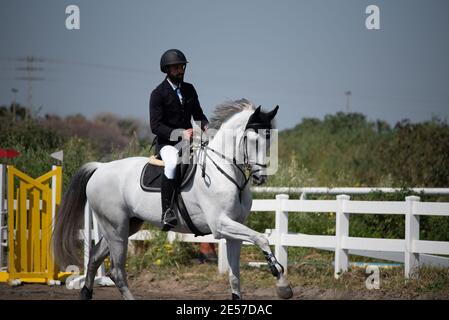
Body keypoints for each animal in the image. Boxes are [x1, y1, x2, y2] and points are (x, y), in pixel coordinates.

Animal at [52, 98, 292, 300]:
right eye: (252, 140)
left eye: (270, 139)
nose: (261, 177)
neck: (226, 172)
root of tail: (100, 168)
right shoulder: (220, 225)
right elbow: (261, 238)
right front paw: (281, 282)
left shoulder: (234, 230)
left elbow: (235, 276)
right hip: (116, 228)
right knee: (117, 271)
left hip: (127, 225)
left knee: (95, 257)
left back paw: (85, 293)